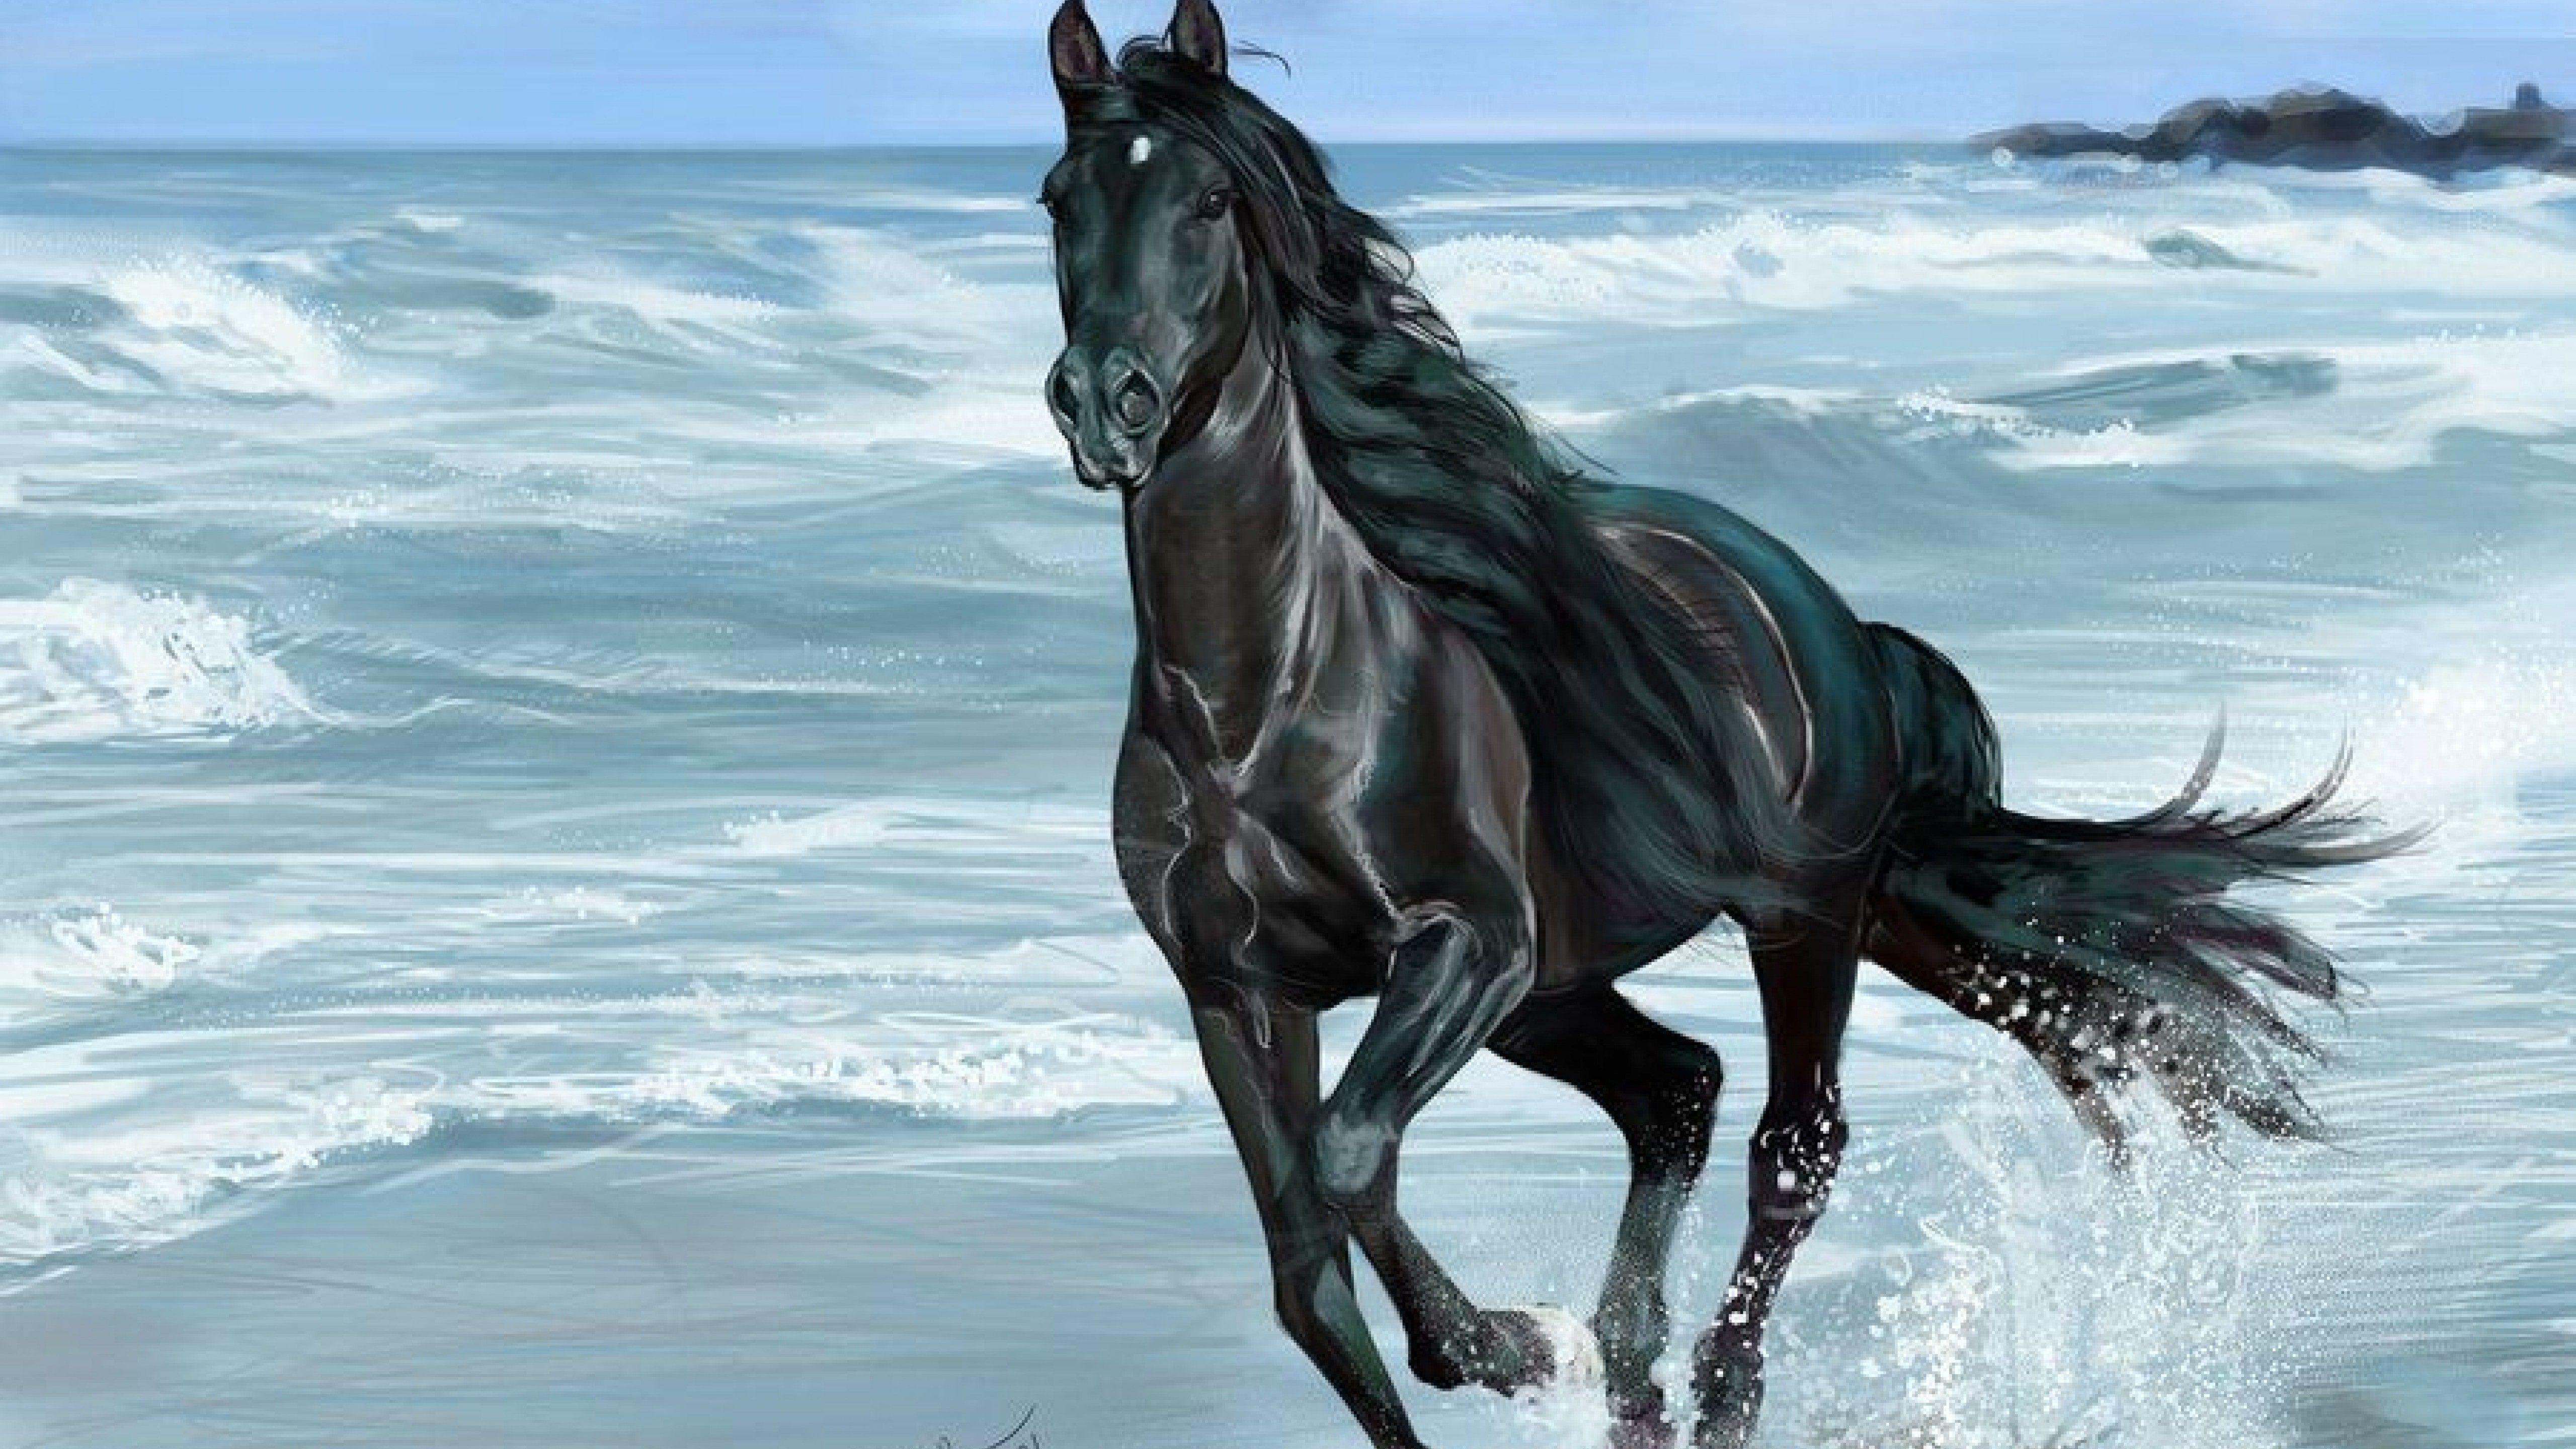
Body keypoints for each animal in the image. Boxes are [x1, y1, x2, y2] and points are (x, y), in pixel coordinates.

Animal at [1037, 4, 2403, 1445]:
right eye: (1060, 199)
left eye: (1209, 202)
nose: (1107, 401)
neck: (1262, 712)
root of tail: (1833, 622)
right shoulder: (1232, 989)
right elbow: (1307, 1271)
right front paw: (1519, 1348)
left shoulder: (1466, 946)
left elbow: (1351, 1157)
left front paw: (1509, 1343)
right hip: (1574, 981)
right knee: (1676, 1091)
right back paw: (1628, 1366)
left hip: (1790, 920)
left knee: (1788, 1147)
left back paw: (1706, 1387)